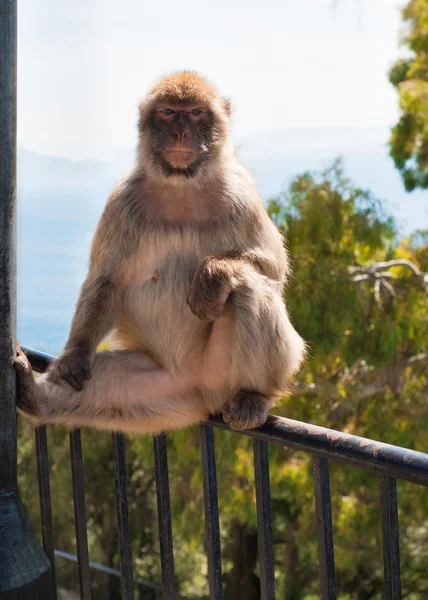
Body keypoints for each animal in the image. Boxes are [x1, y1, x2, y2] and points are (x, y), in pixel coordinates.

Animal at [15, 72, 306, 434]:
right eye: (168, 112)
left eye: (195, 112)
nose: (180, 132)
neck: (181, 187)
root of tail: (199, 393)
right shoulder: (122, 200)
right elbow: (106, 279)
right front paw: (75, 354)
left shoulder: (241, 196)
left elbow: (272, 270)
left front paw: (212, 275)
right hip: (160, 389)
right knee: (108, 384)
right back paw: (35, 397)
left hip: (222, 374)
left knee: (246, 287)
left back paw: (254, 395)